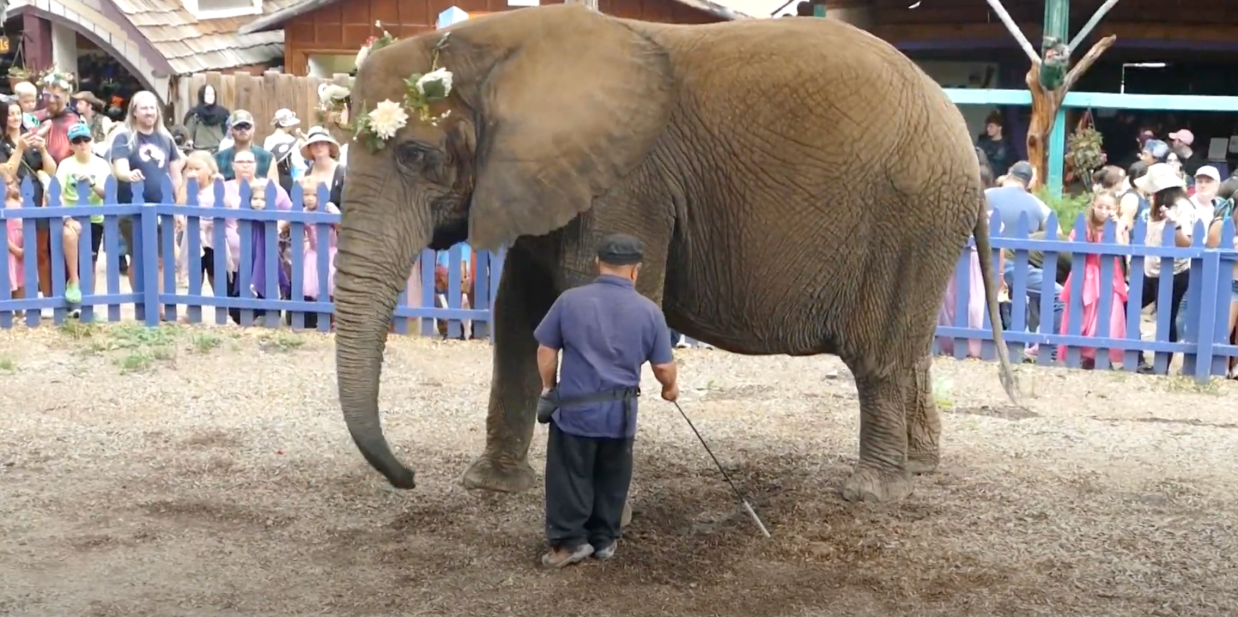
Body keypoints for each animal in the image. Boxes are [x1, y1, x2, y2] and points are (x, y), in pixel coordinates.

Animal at [332, 4, 1019, 507]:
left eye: (416, 155)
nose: (409, 477)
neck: (494, 42)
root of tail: (958, 129)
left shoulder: (627, 184)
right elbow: (520, 315)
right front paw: (493, 487)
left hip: (910, 213)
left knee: (879, 354)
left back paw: (873, 493)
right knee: (911, 350)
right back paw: (922, 468)